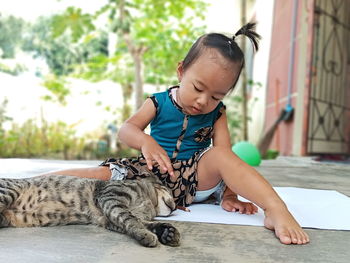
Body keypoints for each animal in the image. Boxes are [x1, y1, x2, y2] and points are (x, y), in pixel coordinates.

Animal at [0, 175, 180, 248]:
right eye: (169, 192)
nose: (175, 206)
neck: (149, 203)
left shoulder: (107, 217)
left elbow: (142, 222)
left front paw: (166, 232)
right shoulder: (111, 198)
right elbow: (131, 219)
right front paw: (146, 235)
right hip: (8, 192)